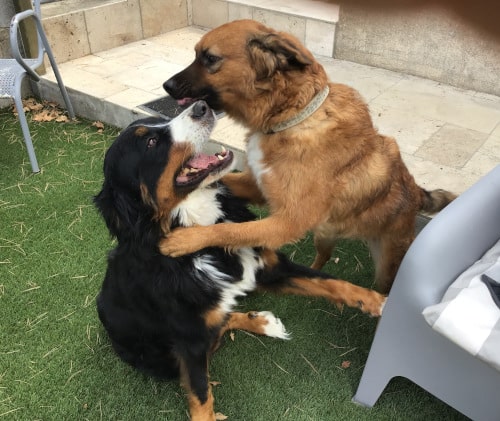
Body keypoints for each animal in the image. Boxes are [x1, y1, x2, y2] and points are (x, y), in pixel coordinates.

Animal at [94, 100, 386, 418]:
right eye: (150, 142)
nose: (201, 106)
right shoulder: (188, 340)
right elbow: (201, 396)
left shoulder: (269, 268)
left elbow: (330, 282)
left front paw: (376, 302)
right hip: (160, 358)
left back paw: (262, 323)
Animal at [161, 18, 458, 292]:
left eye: (210, 58)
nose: (166, 85)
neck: (292, 117)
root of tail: (417, 191)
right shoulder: (260, 187)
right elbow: (222, 182)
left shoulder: (286, 222)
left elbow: (230, 231)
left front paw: (189, 239)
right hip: (323, 233)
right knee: (324, 256)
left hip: (385, 265)